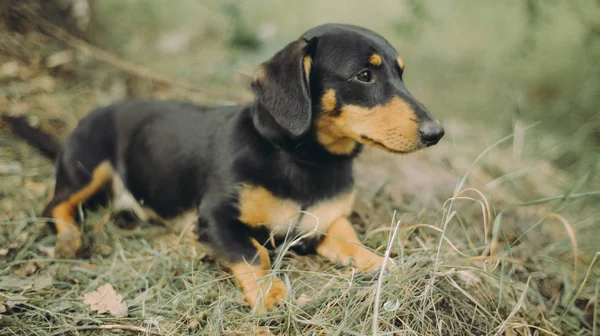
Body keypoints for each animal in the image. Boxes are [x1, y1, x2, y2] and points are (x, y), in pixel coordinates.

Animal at [4, 23, 442, 312]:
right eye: (364, 75)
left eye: (401, 73)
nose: (435, 133)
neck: (302, 162)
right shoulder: (216, 219)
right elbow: (254, 254)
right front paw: (269, 293)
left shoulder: (325, 222)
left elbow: (352, 241)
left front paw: (380, 264)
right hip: (88, 166)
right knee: (55, 205)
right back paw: (69, 238)